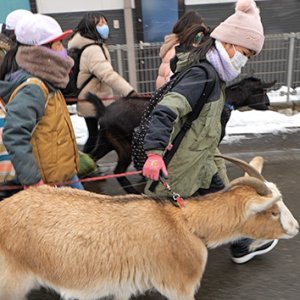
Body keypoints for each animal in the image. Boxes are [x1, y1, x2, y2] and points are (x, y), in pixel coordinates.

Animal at [85, 77, 276, 193]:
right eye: (261, 91)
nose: (268, 104)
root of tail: (104, 111)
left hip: (106, 141)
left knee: (91, 157)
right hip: (122, 145)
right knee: (118, 170)